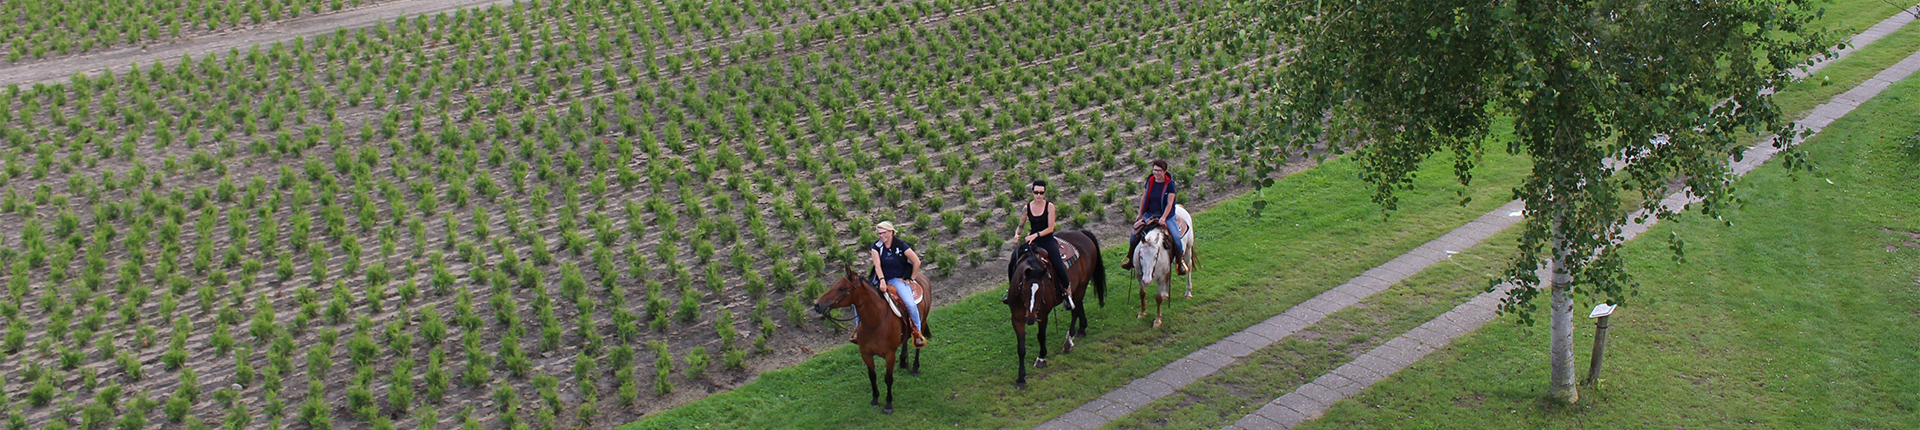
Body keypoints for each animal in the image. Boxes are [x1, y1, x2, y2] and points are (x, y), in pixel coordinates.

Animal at [810, 264, 929, 412]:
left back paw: (915, 368)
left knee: (917, 343)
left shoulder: (890, 355)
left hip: (922, 322)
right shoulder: (866, 353)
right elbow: (872, 376)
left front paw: (888, 404)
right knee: (905, 339)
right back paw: (903, 361)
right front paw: (875, 399)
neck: (875, 321)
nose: (817, 304)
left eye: (841, 288)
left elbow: (888, 378)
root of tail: (922, 277)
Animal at [1006, 230, 1113, 387]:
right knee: (1078, 305)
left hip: (1081, 285)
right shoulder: (1017, 318)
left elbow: (1041, 336)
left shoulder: (1043, 315)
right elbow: (1021, 348)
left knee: (1075, 309)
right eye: (1023, 289)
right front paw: (1021, 378)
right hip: (1077, 288)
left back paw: (1069, 340)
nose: (1030, 319)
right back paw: (1081, 329)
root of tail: (1081, 232)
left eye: (1042, 290)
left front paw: (1041, 358)